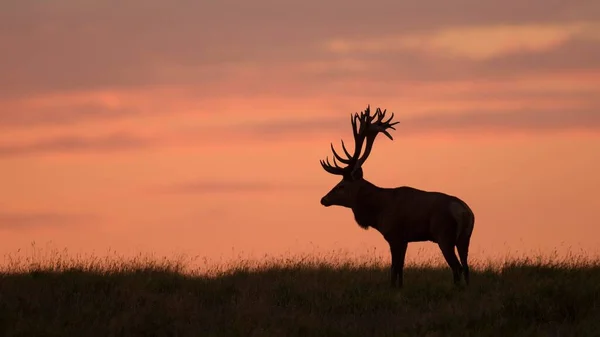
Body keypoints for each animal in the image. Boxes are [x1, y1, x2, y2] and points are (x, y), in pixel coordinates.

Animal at [322, 104, 476, 286]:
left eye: (341, 185)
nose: (323, 199)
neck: (378, 212)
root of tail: (465, 212)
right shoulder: (404, 239)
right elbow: (400, 268)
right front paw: (400, 287)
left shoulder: (394, 235)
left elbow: (394, 267)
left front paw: (392, 287)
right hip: (465, 238)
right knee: (466, 267)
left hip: (444, 235)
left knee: (457, 267)